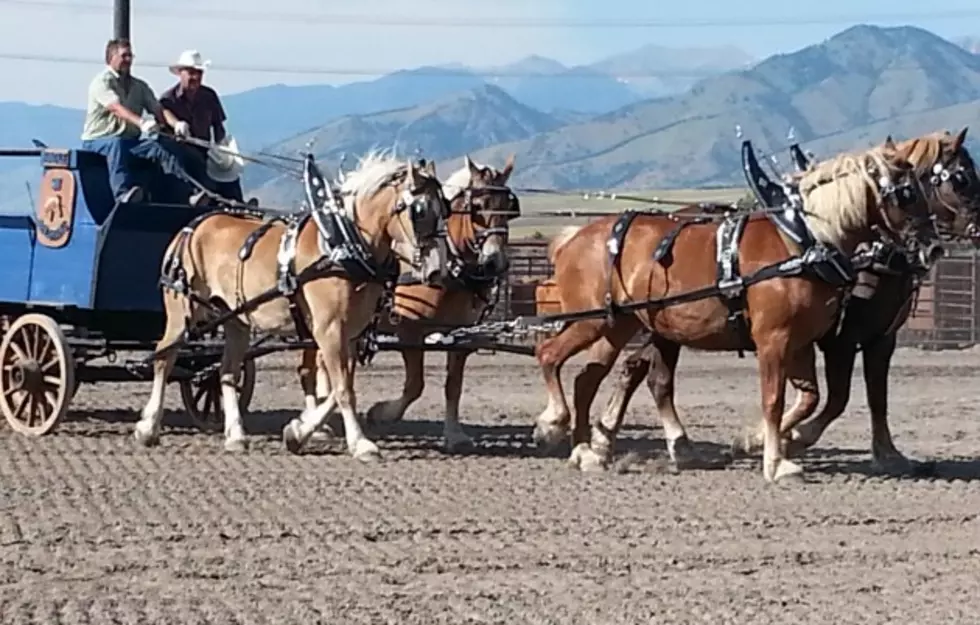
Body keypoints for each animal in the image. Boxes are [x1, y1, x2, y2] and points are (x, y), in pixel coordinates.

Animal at [133, 151, 448, 458]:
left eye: (445, 208)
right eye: (419, 211)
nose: (438, 270)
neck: (341, 245)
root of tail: (192, 227)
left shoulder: (350, 334)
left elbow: (338, 388)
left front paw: (298, 432)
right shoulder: (329, 330)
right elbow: (343, 389)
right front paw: (360, 443)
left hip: (235, 321)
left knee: (226, 373)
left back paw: (235, 436)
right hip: (182, 312)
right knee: (164, 358)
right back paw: (148, 427)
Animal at [294, 154, 520, 450]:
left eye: (509, 208)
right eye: (477, 207)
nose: (495, 261)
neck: (450, 268)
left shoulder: (461, 336)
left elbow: (453, 386)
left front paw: (454, 433)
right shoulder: (409, 329)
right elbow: (415, 384)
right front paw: (381, 413)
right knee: (308, 369)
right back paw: (317, 424)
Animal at [532, 140, 944, 482]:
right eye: (907, 192)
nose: (934, 247)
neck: (802, 240)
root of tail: (573, 238)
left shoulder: (803, 341)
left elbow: (812, 397)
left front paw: (768, 441)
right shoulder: (779, 340)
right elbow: (775, 400)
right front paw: (776, 462)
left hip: (619, 325)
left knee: (592, 378)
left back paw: (590, 452)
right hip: (592, 321)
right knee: (550, 354)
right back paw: (555, 424)